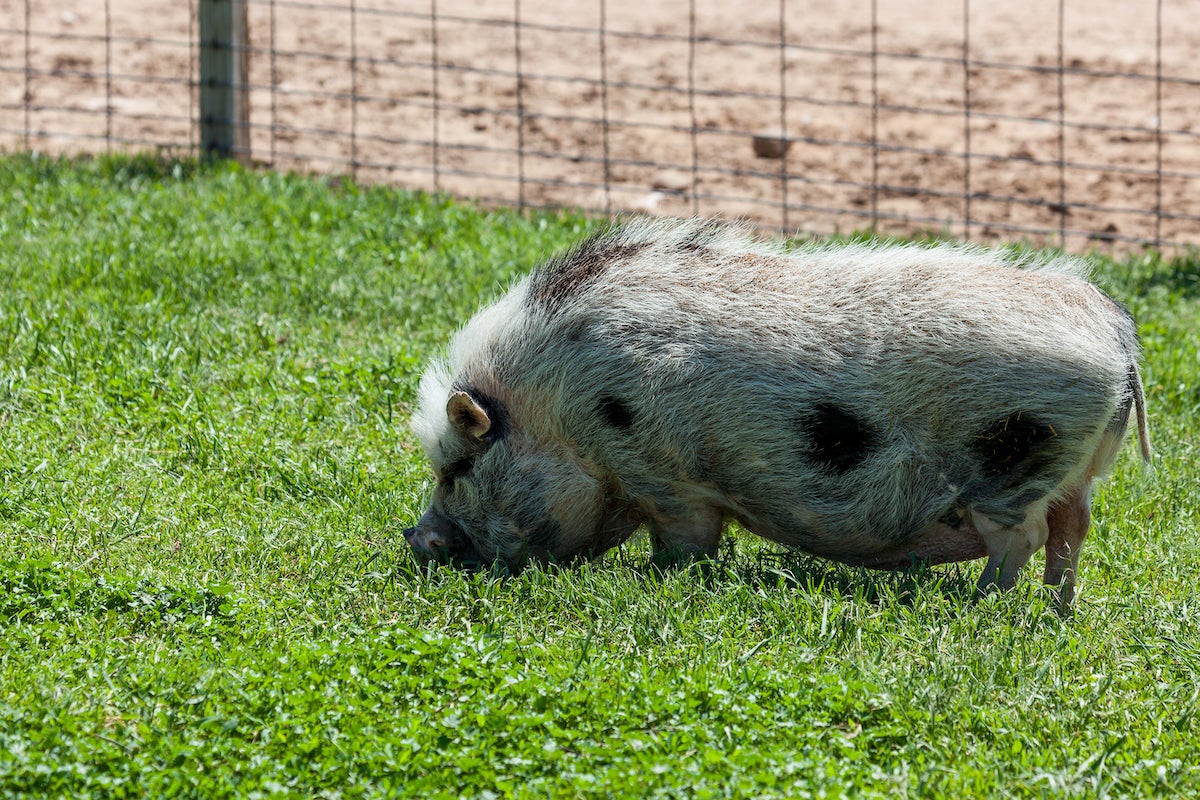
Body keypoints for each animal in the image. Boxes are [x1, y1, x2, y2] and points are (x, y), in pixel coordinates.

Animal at [405, 215, 1152, 609]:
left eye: (458, 466)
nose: (417, 540)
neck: (560, 410)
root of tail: (1115, 331)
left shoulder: (664, 476)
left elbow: (686, 540)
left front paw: (664, 579)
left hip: (1015, 464)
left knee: (1024, 538)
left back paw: (980, 604)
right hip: (1079, 474)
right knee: (1072, 531)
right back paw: (1055, 608)